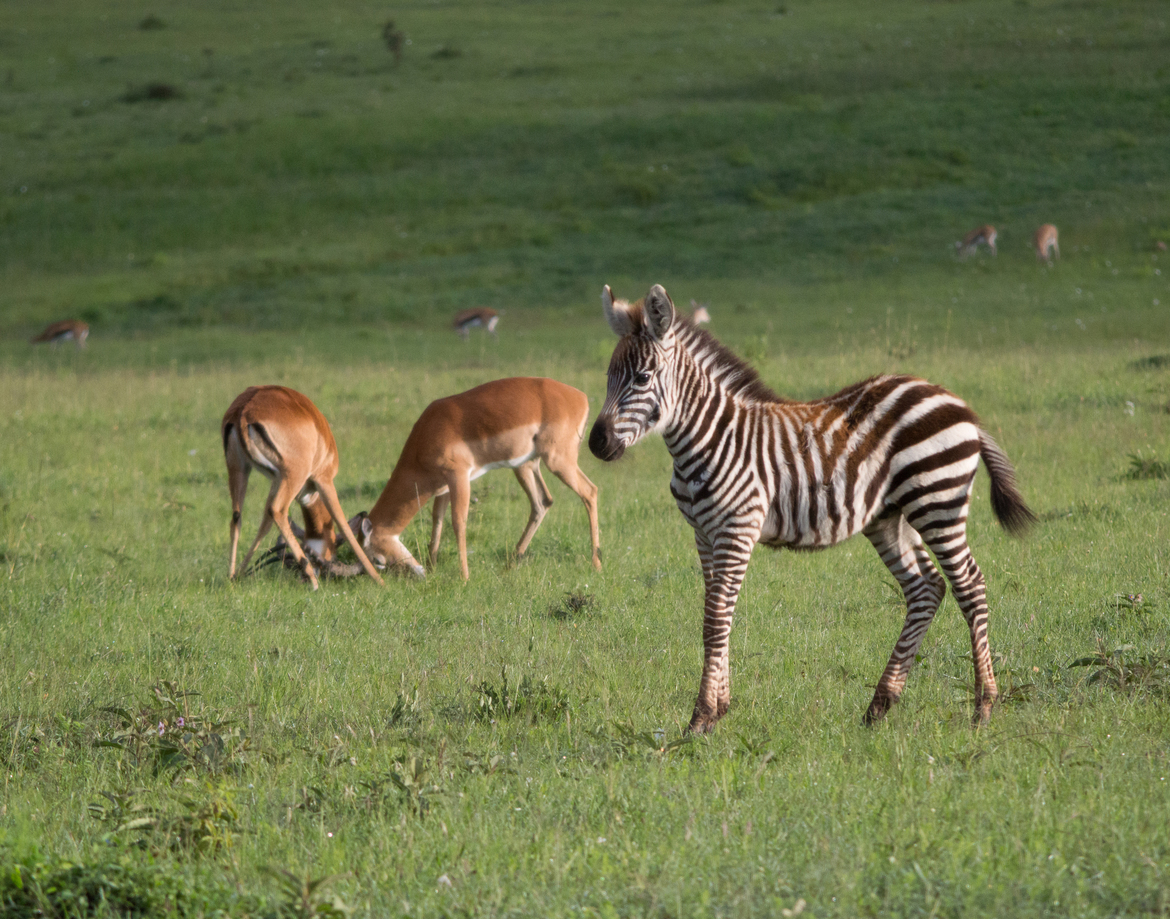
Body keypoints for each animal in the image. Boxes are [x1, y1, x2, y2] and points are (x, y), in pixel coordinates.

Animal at [222, 385, 385, 590]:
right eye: (331, 555)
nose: (320, 572)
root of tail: (244, 410)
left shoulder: (276, 480)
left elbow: (264, 525)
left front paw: (241, 574)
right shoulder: (324, 479)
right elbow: (343, 524)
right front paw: (379, 580)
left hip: (240, 469)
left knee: (237, 517)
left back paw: (231, 576)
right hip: (294, 475)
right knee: (277, 510)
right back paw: (313, 582)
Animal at [354, 377, 601, 580]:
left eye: (377, 560)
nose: (417, 574)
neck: (425, 436)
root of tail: (581, 397)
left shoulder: (459, 476)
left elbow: (458, 521)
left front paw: (464, 577)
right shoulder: (443, 486)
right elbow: (437, 519)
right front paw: (432, 567)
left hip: (557, 462)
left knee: (590, 491)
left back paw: (595, 564)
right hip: (525, 466)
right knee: (542, 502)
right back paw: (510, 564)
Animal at [588, 284, 1035, 733]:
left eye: (643, 378)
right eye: (608, 377)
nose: (596, 443)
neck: (711, 437)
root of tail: (955, 401)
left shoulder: (737, 527)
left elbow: (715, 619)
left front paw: (701, 717)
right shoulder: (704, 533)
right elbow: (717, 615)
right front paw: (719, 708)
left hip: (937, 501)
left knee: (970, 585)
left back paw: (983, 706)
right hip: (889, 516)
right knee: (926, 587)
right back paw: (879, 705)